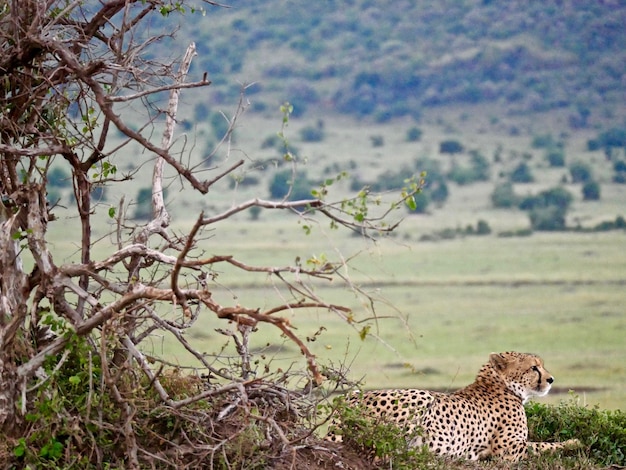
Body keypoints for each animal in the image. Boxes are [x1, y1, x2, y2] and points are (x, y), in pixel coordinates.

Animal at [330, 350, 576, 460]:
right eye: (534, 367)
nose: (551, 379)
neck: (502, 385)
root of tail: (348, 400)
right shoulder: (507, 450)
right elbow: (542, 445)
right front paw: (574, 442)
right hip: (423, 397)